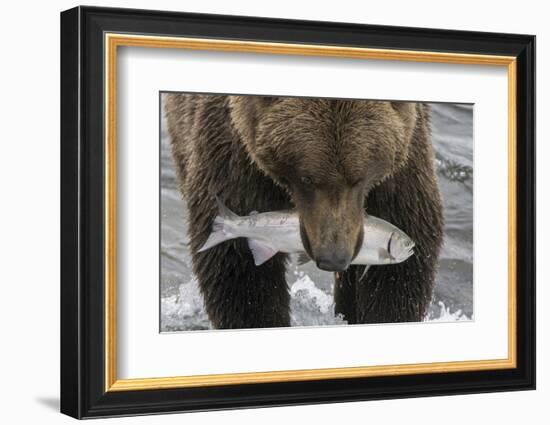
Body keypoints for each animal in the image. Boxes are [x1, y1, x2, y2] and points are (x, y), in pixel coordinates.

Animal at [164, 94, 444, 328]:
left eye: (358, 179)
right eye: (307, 179)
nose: (334, 257)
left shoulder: (401, 173)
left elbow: (399, 276)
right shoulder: (235, 156)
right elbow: (239, 273)